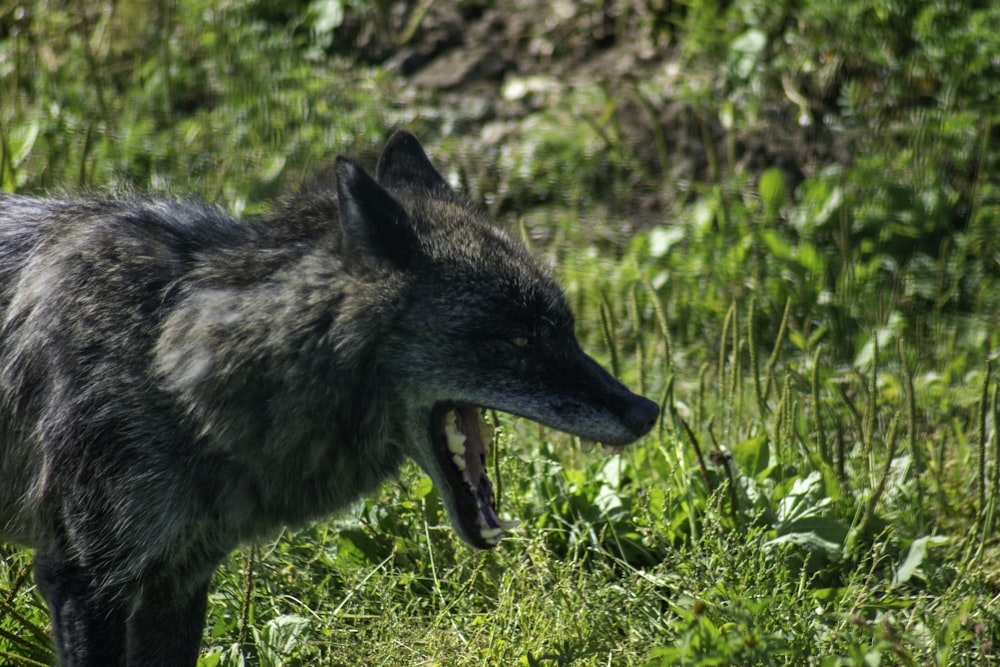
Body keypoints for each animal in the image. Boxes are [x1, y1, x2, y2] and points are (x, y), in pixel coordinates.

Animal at [0, 128, 660, 664]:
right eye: (521, 338)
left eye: (565, 329)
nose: (646, 412)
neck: (164, 353)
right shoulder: (84, 580)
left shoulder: (178, 581)